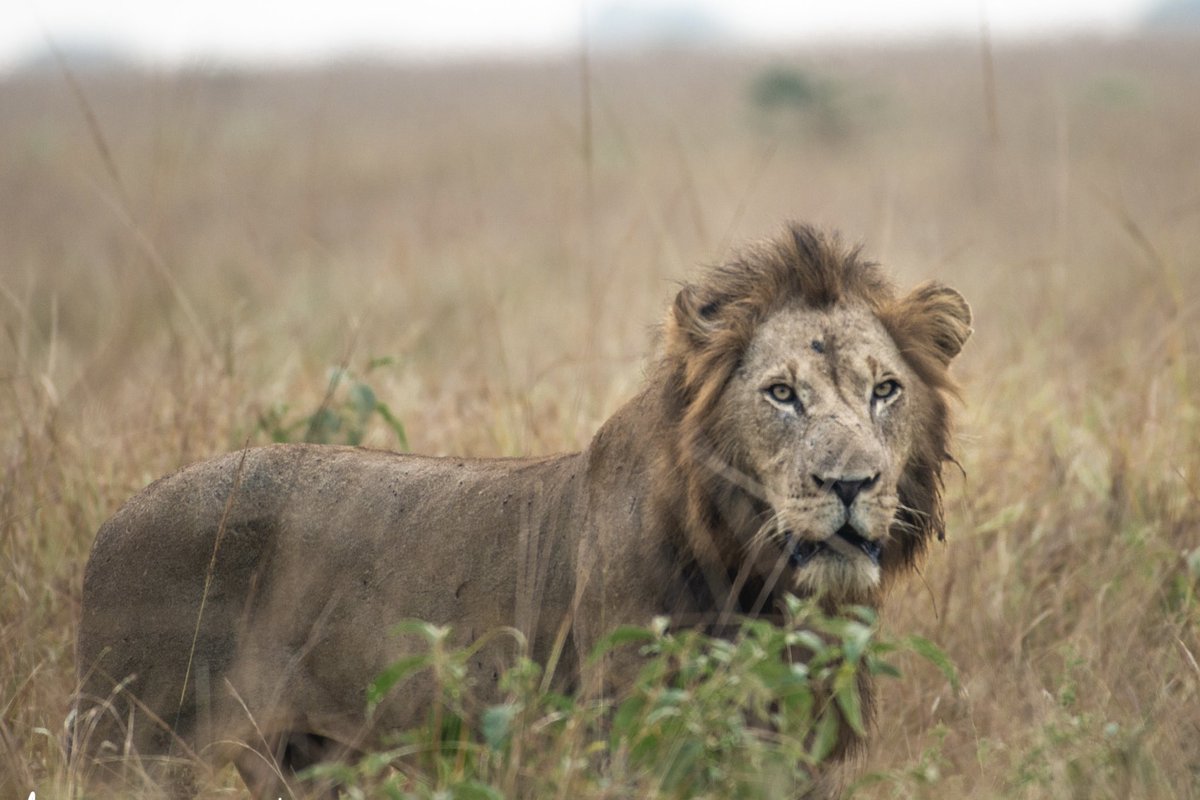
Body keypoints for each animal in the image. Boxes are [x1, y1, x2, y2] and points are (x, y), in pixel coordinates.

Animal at [73, 223, 971, 798]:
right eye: (782, 394)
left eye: (885, 390)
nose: (852, 484)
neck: (759, 585)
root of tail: (111, 527)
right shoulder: (630, 745)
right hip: (131, 747)